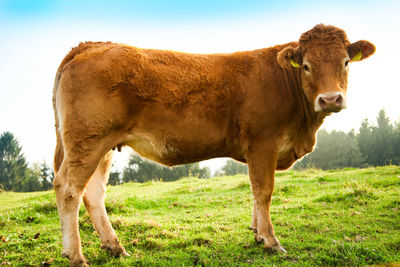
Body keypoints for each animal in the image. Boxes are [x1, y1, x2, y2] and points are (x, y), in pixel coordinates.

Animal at [52, 24, 376, 266]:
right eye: (306, 66)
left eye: (346, 63)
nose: (330, 99)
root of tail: (91, 44)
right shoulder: (263, 143)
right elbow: (264, 191)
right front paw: (271, 241)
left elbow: (256, 192)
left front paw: (257, 233)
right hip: (88, 140)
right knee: (68, 189)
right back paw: (76, 256)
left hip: (102, 145)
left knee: (94, 193)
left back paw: (115, 247)